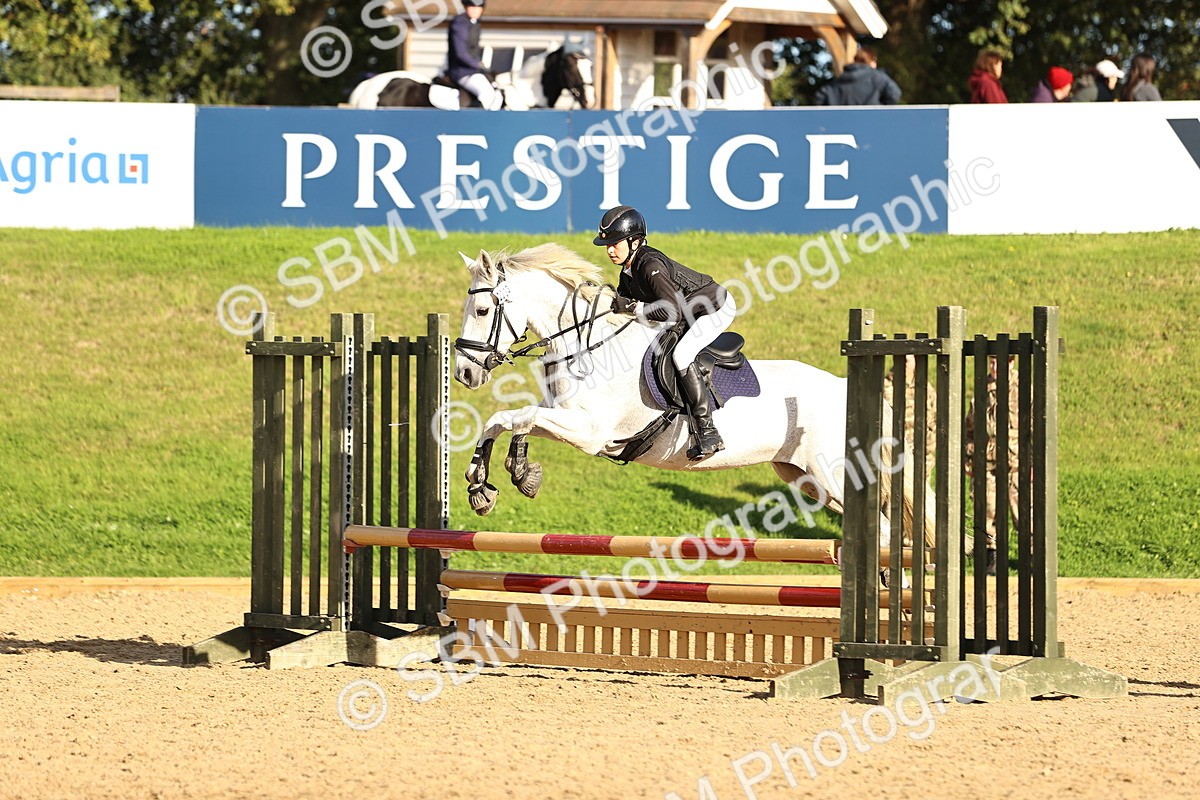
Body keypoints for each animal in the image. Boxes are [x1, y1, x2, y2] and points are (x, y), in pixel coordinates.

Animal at [452, 243, 935, 548]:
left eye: (482, 310)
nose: (463, 373)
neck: (586, 343)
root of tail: (842, 387)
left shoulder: (589, 432)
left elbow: (518, 417)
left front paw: (506, 475)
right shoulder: (568, 419)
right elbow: (508, 419)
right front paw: (491, 480)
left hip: (833, 474)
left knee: (885, 530)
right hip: (805, 477)